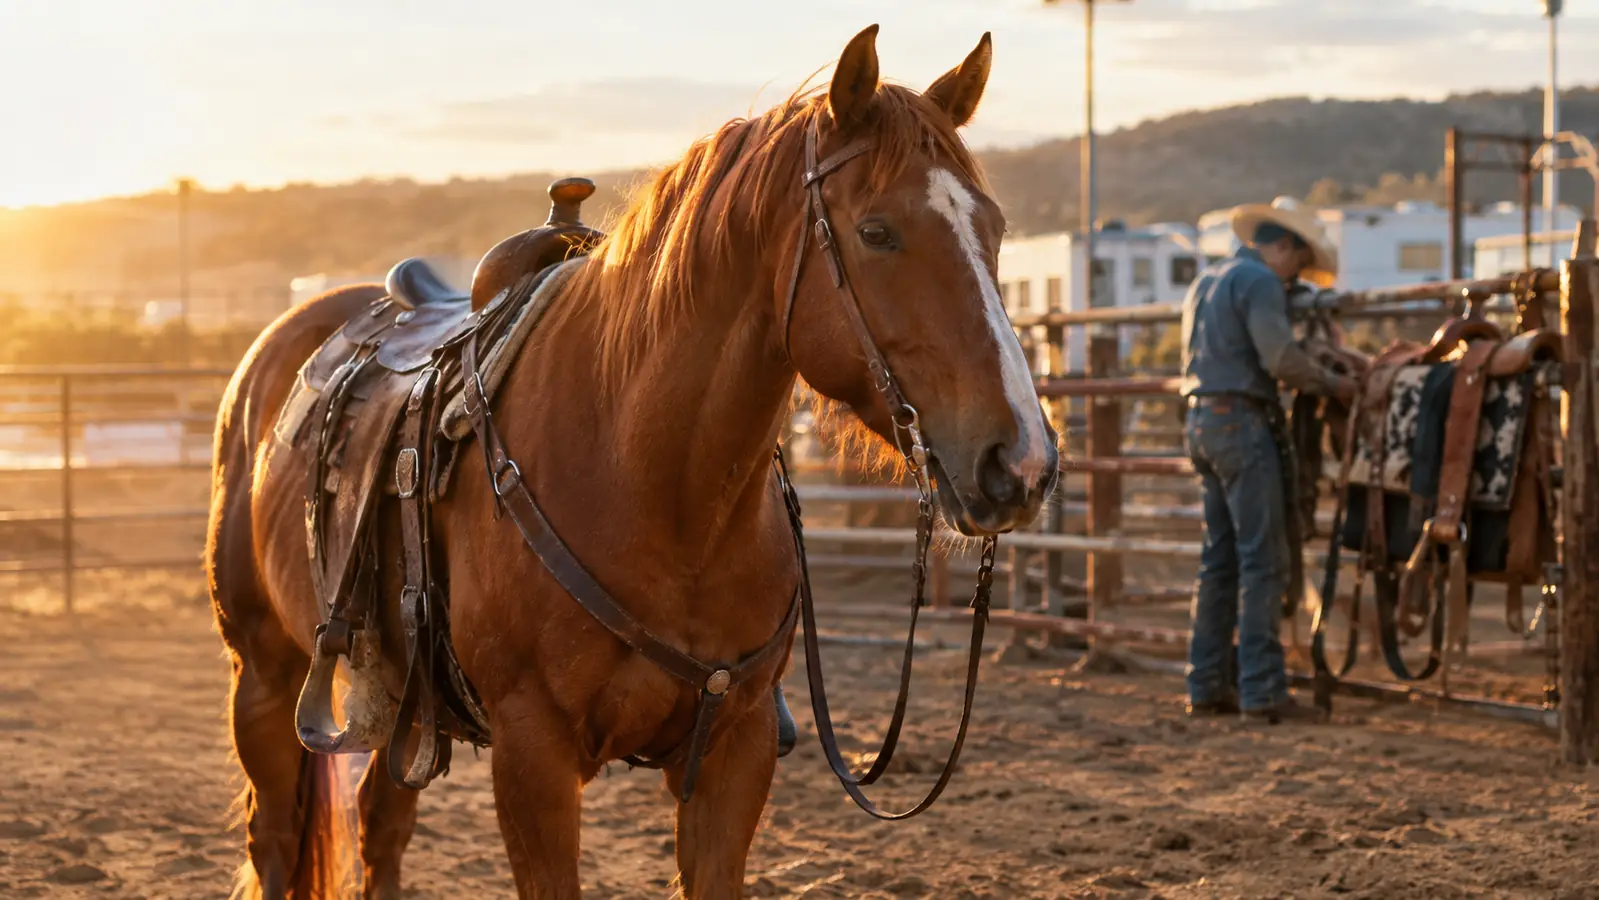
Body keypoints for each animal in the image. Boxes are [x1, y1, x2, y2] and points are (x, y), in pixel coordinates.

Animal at [205, 24, 1057, 899]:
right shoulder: (533, 756)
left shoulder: (736, 748)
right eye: (877, 231)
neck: (658, 492)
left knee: (382, 824)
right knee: (274, 838)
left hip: (400, 700)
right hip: (263, 673)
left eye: (994, 231)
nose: (1020, 461)